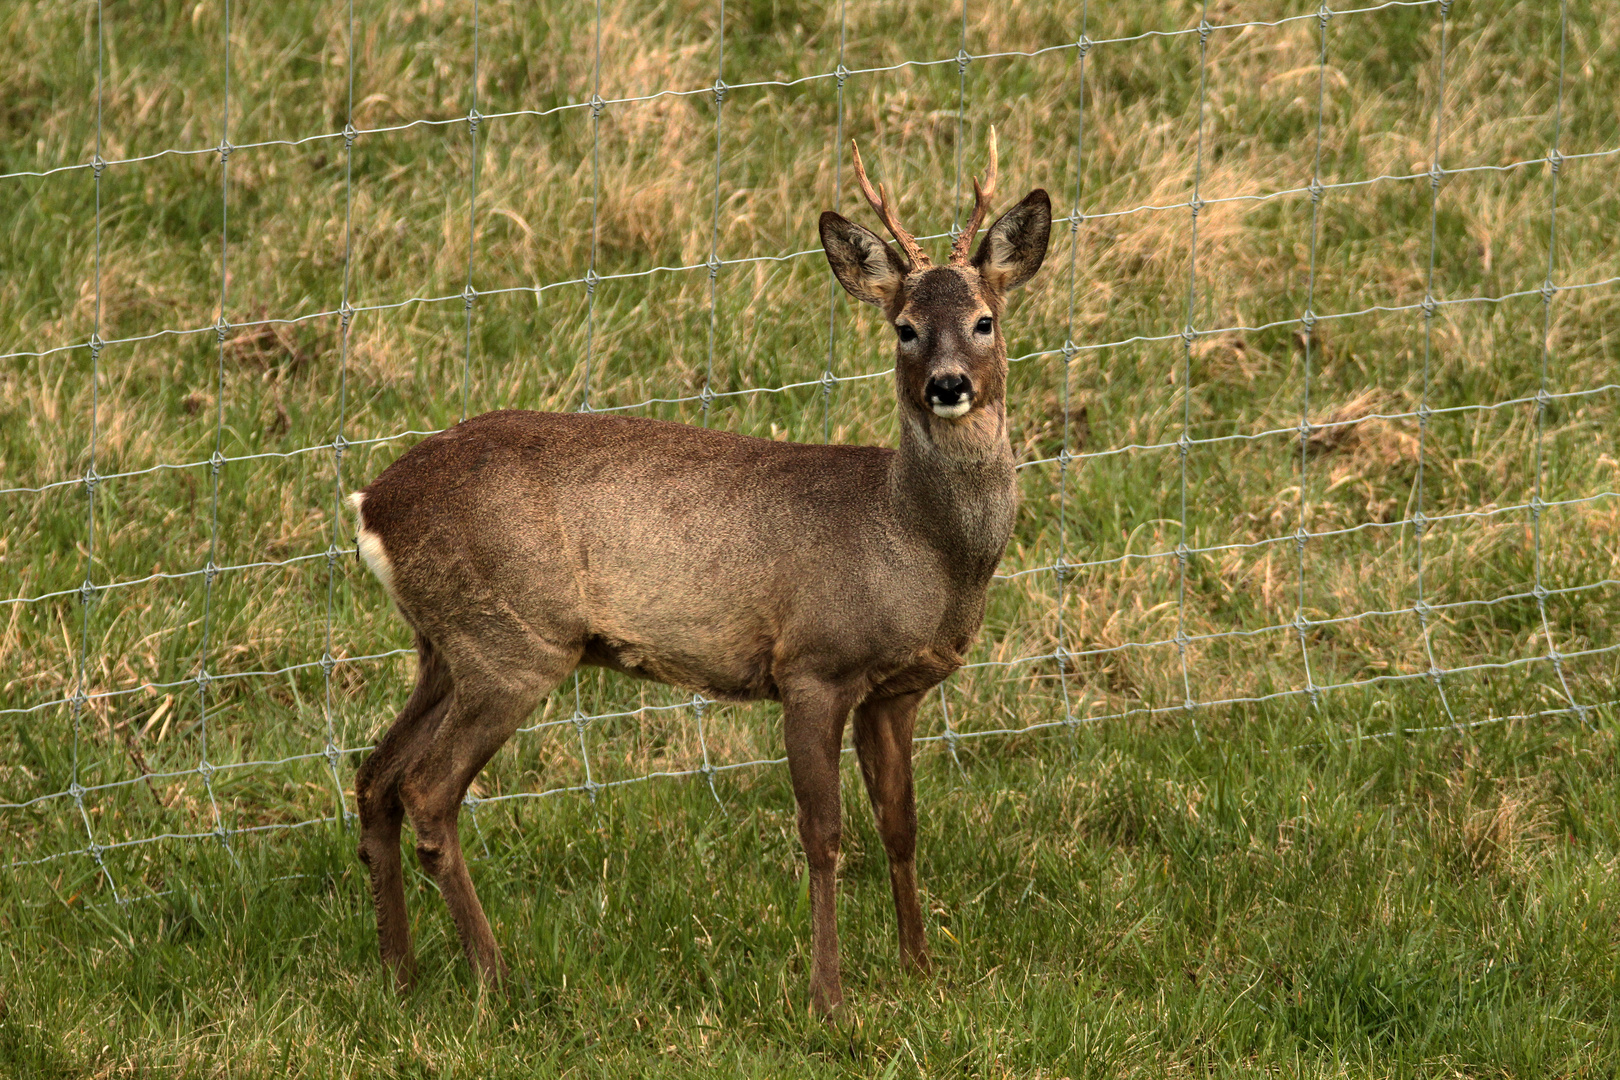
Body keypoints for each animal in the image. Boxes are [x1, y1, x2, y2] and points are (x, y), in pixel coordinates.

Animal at [351, 131, 1049, 1016]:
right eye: (904, 328)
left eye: (986, 321)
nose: (948, 385)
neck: (910, 542)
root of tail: (374, 504)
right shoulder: (813, 664)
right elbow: (824, 836)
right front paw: (829, 998)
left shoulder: (897, 688)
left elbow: (901, 825)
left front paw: (920, 969)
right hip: (511, 642)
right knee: (427, 792)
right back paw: (495, 978)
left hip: (444, 646)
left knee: (375, 777)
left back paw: (399, 975)